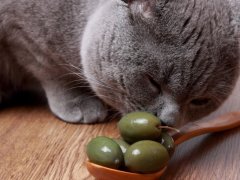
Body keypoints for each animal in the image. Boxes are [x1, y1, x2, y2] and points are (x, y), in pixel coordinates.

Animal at [0, 0, 239, 126]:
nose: (169, 121)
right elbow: (50, 72)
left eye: (200, 101)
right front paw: (78, 102)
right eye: (153, 82)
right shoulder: (22, 33)